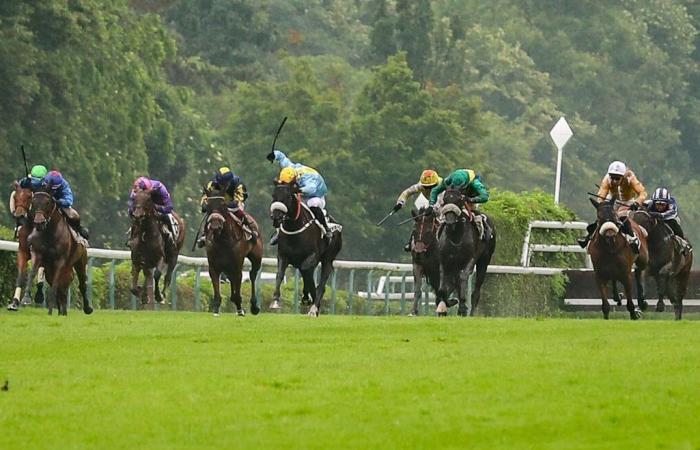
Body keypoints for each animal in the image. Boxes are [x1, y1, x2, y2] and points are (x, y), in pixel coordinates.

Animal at [6, 181, 44, 312]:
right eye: (15, 197)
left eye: (28, 197)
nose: (19, 215)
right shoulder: (22, 250)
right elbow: (21, 275)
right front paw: (14, 302)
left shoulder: (37, 253)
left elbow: (32, 273)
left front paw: (27, 298)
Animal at [268, 182, 342, 316]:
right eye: (273, 195)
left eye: (288, 197)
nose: (276, 217)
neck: (294, 227)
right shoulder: (283, 255)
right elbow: (280, 274)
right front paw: (275, 301)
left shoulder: (312, 256)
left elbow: (308, 274)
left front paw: (311, 301)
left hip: (328, 259)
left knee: (322, 282)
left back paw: (314, 307)